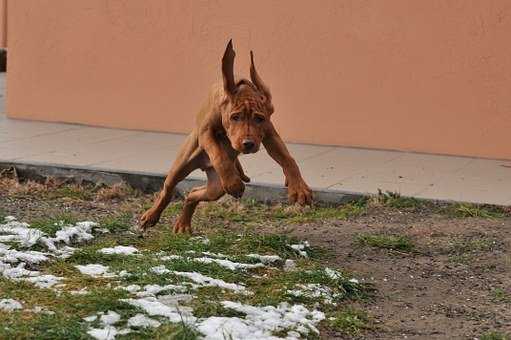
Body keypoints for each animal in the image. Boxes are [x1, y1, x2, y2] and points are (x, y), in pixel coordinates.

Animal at [141, 38, 316, 232]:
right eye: (235, 117)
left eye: (259, 119)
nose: (248, 144)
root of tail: (205, 165)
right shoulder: (206, 133)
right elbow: (219, 155)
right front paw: (233, 182)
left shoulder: (270, 135)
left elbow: (288, 159)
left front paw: (299, 188)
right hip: (182, 165)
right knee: (168, 188)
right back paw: (151, 216)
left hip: (216, 188)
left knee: (193, 194)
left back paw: (183, 224)